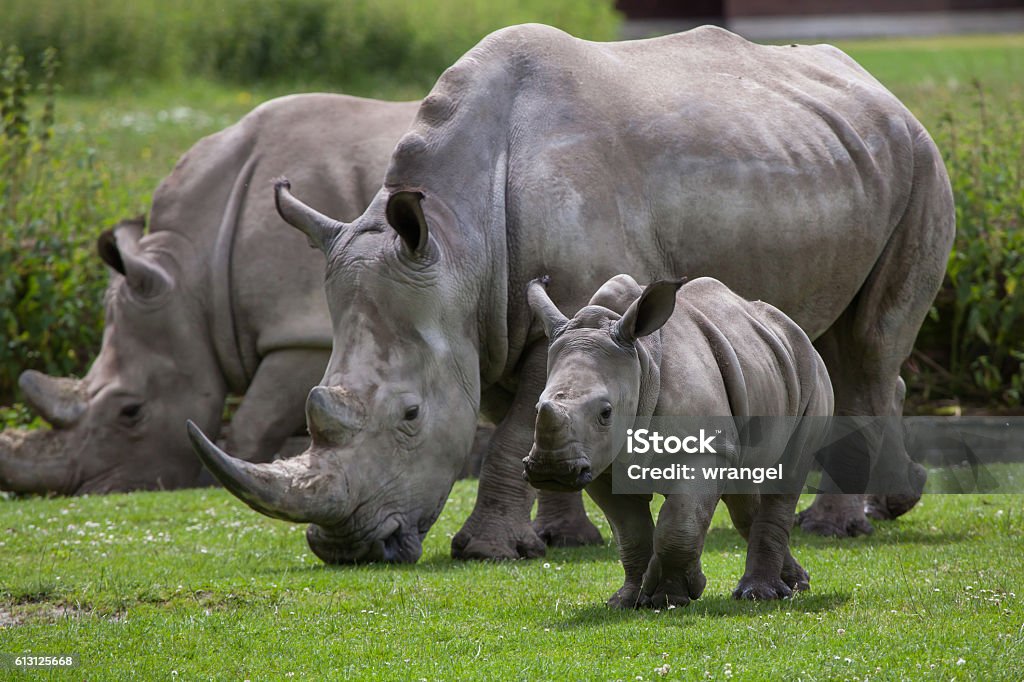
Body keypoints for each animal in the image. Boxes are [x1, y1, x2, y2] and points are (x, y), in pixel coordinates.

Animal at [190, 22, 950, 561]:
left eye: (409, 415)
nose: (347, 550)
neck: (459, 242)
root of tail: (881, 88)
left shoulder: (551, 315)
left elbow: (512, 433)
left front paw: (490, 552)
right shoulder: (488, 323)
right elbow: (535, 417)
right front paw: (563, 537)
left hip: (921, 163)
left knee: (870, 345)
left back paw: (839, 527)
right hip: (832, 157)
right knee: (837, 343)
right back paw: (888, 504)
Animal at [524, 274, 835, 602]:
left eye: (606, 413)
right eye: (536, 408)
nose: (551, 470)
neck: (641, 362)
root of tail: (795, 330)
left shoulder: (703, 448)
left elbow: (680, 523)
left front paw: (670, 597)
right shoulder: (598, 461)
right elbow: (629, 531)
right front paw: (628, 600)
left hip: (812, 372)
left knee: (787, 475)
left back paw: (759, 594)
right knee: (743, 486)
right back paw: (796, 584)